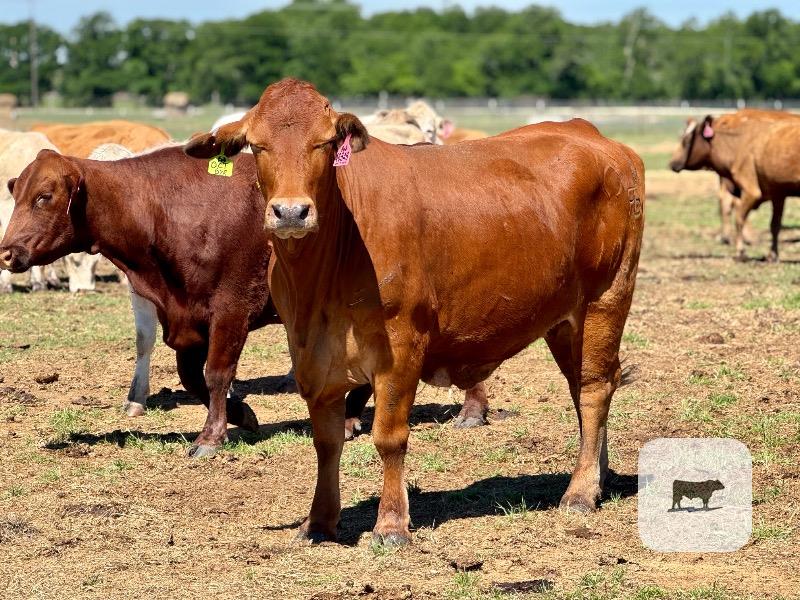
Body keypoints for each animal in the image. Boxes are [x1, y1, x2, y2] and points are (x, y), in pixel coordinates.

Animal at [184, 78, 645, 545]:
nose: (291, 211)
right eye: (257, 145)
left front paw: (391, 523)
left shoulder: (401, 348)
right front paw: (319, 522)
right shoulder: (311, 355)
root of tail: (592, 135)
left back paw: (580, 491)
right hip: (565, 321)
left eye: (326, 143)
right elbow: (326, 441)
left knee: (593, 390)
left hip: (606, 298)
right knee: (584, 386)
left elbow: (389, 437)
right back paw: (599, 476)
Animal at [669, 108, 800, 260]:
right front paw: (772, 255)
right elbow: (775, 225)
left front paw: (741, 250)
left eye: (685, 141)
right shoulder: (778, 194)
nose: (672, 163)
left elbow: (739, 219)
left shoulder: (751, 191)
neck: (738, 142)